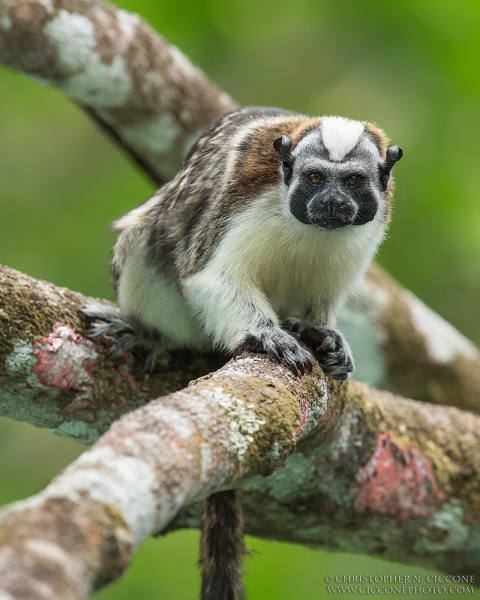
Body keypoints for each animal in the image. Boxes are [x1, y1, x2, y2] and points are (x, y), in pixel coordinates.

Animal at [82, 106, 402, 600]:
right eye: (314, 178)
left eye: (351, 182)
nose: (331, 201)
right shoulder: (245, 200)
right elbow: (208, 276)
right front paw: (269, 336)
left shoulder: (370, 225)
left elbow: (325, 300)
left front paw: (323, 336)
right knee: (148, 235)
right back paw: (152, 333)